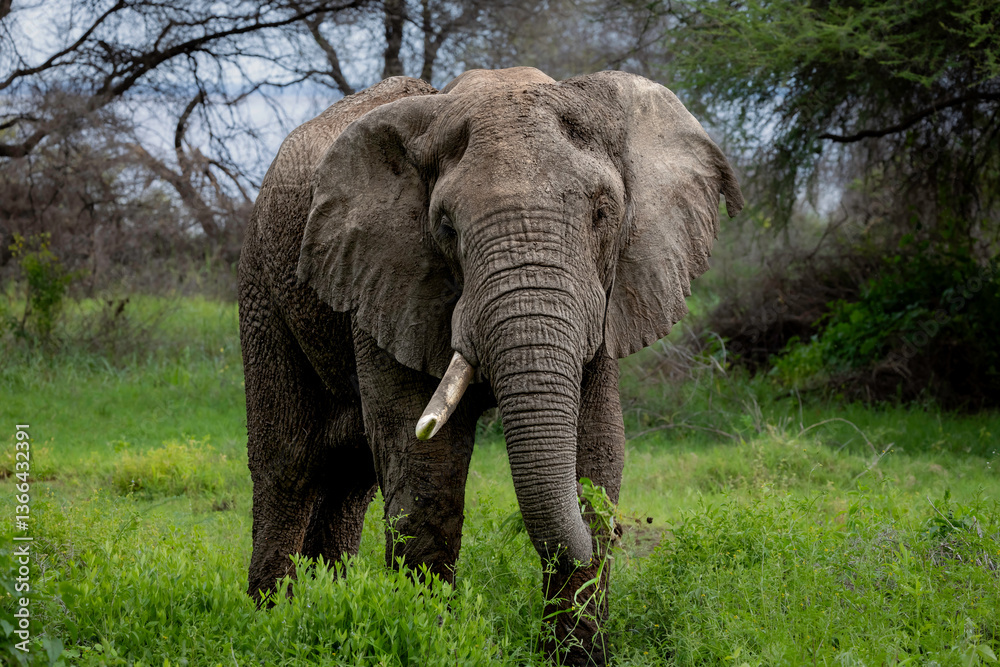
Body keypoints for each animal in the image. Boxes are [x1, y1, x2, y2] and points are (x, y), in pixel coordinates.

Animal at [237, 66, 742, 665]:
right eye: (447, 228)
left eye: (603, 213)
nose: (625, 533)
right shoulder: (389, 276)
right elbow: (424, 463)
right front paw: (428, 640)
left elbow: (598, 446)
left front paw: (576, 656)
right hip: (262, 290)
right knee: (288, 467)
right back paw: (272, 625)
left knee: (350, 479)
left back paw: (326, 607)